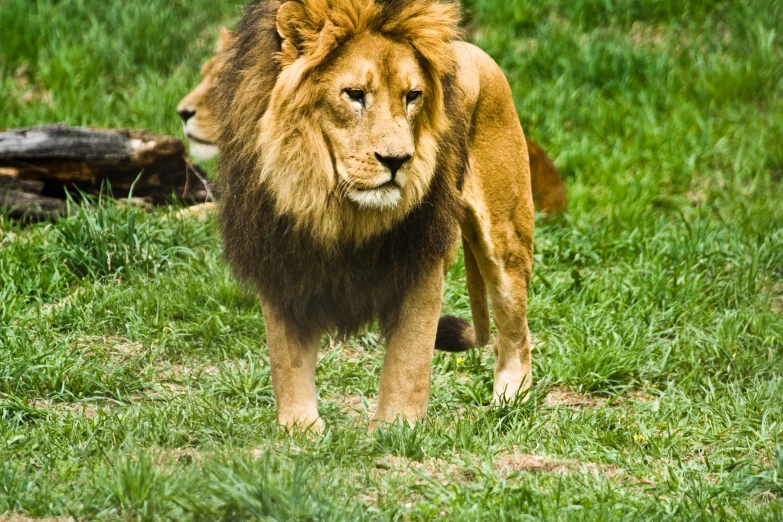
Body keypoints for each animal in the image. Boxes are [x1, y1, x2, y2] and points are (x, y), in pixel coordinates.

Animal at [216, 0, 540, 430]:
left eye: (413, 96)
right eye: (355, 95)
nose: (398, 160)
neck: (336, 209)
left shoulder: (420, 259)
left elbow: (409, 360)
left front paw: (395, 429)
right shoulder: (281, 259)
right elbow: (287, 361)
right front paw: (300, 431)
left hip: (505, 237)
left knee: (516, 333)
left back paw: (507, 403)